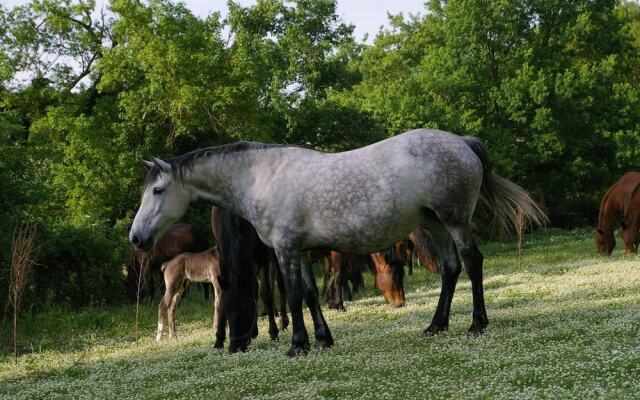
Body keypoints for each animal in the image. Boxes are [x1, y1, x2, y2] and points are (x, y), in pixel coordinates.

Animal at [129, 128, 544, 356]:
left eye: (158, 190)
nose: (137, 237)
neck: (260, 177)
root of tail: (461, 141)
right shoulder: (299, 251)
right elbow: (312, 294)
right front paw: (323, 339)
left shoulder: (285, 249)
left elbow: (293, 296)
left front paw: (297, 345)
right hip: (436, 224)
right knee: (451, 268)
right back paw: (436, 325)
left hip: (455, 220)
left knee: (472, 262)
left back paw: (477, 323)